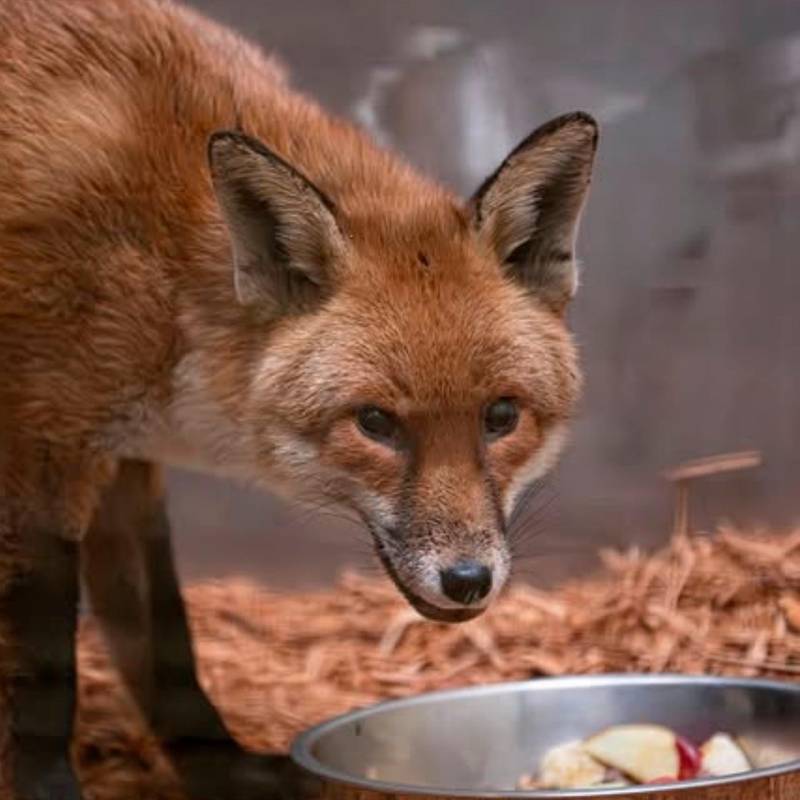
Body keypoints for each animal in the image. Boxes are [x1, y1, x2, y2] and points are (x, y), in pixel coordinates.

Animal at [0, 0, 598, 797]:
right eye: (375, 423)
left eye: (500, 416)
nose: (469, 581)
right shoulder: (40, 450)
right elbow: (44, 679)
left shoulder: (123, 461)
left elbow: (166, 644)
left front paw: (223, 771)